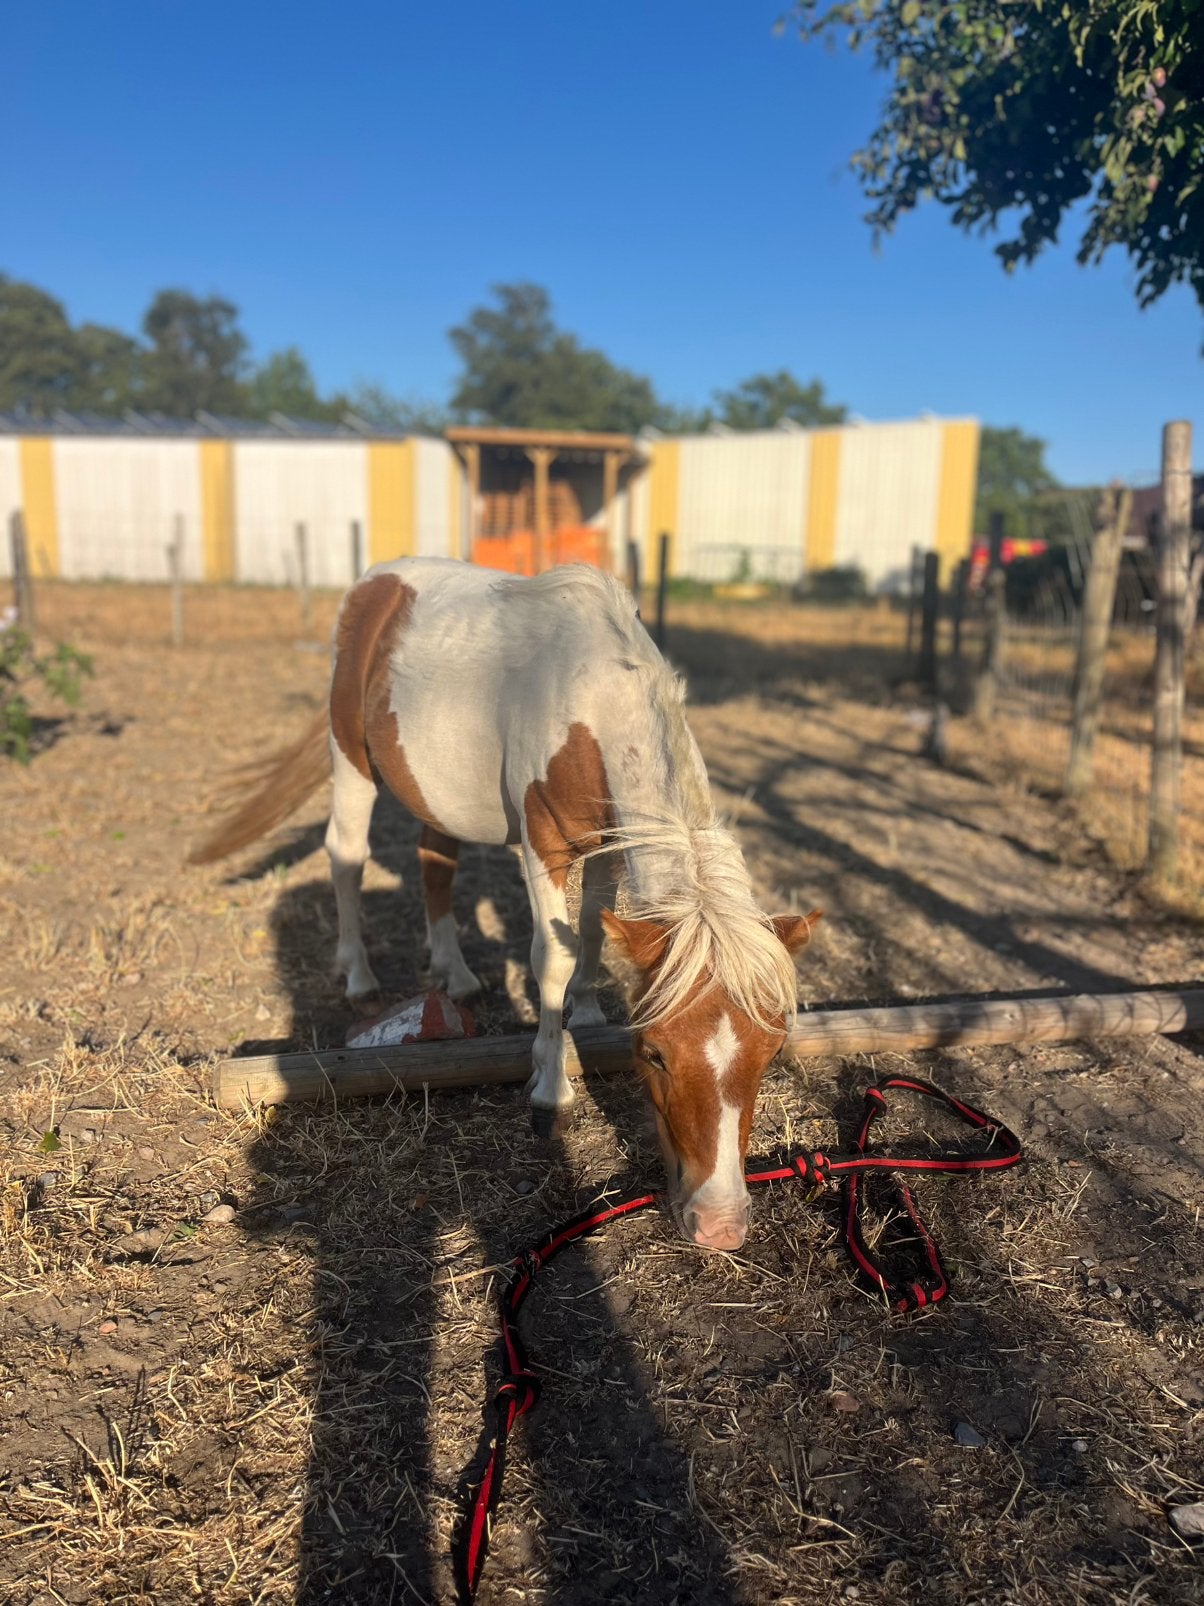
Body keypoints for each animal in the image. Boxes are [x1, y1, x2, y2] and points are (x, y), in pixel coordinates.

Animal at [191, 558, 820, 1251]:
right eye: (654, 1051)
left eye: (771, 1053)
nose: (719, 1224)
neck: (592, 703)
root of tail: (375, 582)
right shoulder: (541, 844)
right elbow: (552, 956)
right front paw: (551, 1087)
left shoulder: (610, 843)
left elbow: (592, 933)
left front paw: (588, 1013)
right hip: (350, 758)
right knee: (346, 855)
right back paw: (358, 974)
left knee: (435, 859)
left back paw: (457, 974)